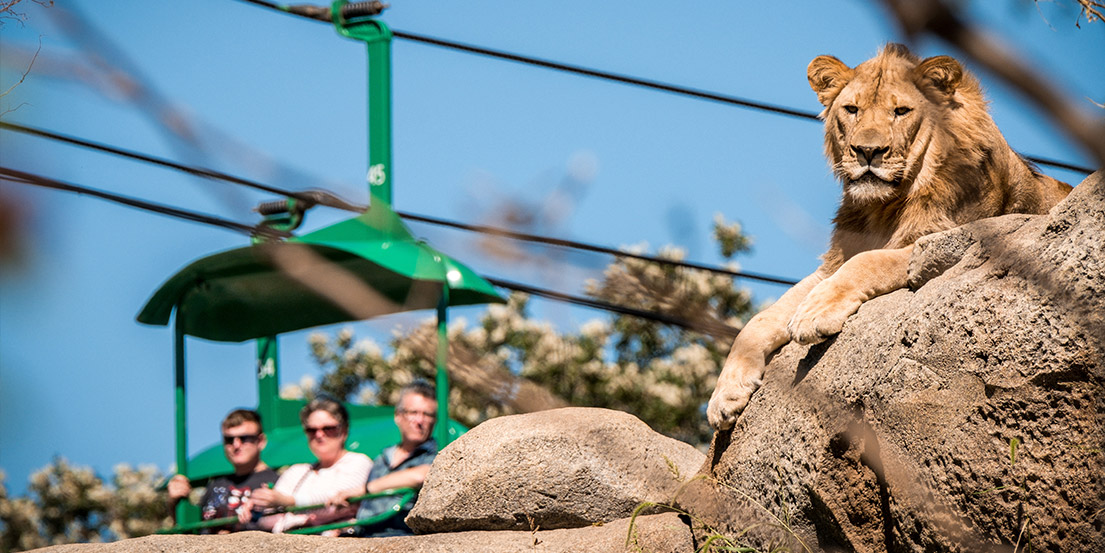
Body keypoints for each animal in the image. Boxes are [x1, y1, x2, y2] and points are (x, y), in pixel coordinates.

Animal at [707, 44, 1069, 431]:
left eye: (901, 111)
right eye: (852, 109)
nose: (868, 152)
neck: (882, 207)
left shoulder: (944, 241)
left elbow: (868, 262)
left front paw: (813, 314)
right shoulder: (830, 265)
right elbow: (758, 321)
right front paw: (725, 395)